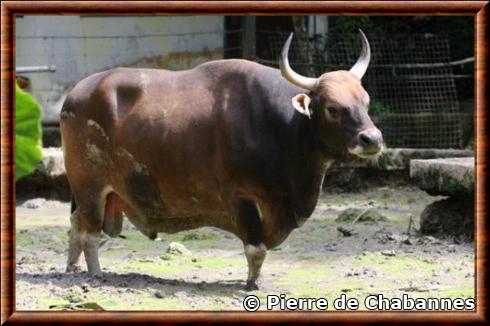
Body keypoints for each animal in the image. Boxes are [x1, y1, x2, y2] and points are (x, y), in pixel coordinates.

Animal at [60, 31, 382, 290]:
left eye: (365, 102)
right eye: (333, 108)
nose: (373, 139)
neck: (282, 127)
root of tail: (74, 96)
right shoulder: (241, 198)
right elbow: (257, 248)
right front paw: (253, 282)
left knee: (76, 222)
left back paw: (72, 268)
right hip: (89, 186)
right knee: (89, 231)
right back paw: (95, 272)